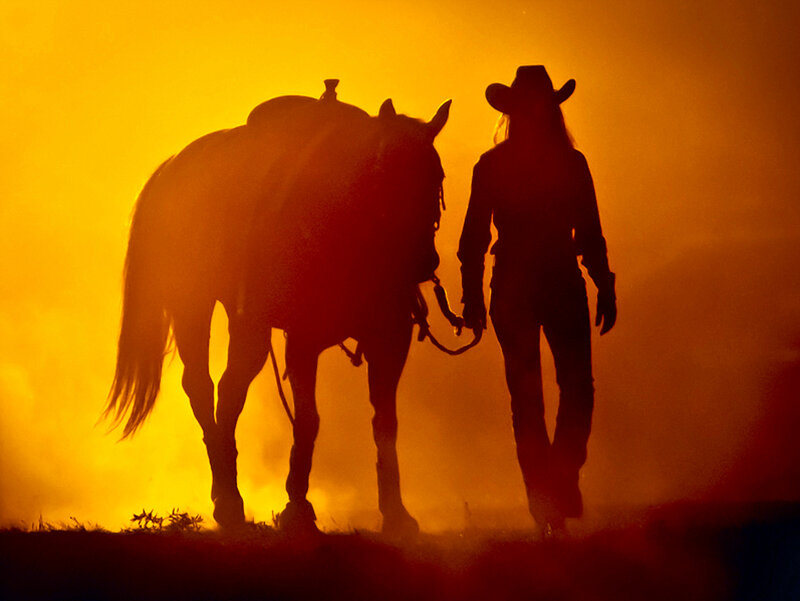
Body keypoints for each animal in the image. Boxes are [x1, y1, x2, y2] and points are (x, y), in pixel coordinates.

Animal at [105, 81, 451, 537]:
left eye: (437, 176)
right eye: (383, 171)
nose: (422, 262)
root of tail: (176, 165)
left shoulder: (390, 339)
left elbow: (385, 424)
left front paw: (396, 513)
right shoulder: (303, 340)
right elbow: (308, 420)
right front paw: (298, 508)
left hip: (247, 323)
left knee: (231, 388)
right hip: (192, 306)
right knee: (202, 387)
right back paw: (229, 501)